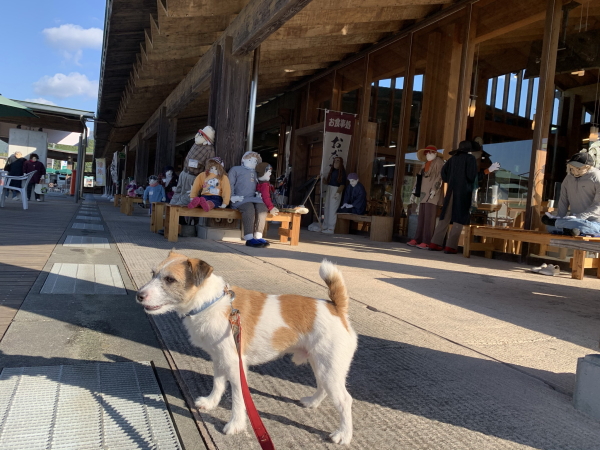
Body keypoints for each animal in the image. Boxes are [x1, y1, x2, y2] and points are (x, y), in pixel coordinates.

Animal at [136, 251, 356, 444]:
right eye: (153, 273)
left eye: (170, 279)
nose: (139, 295)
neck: (210, 302)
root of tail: (336, 307)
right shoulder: (219, 359)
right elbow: (218, 384)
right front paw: (211, 402)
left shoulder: (235, 366)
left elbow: (238, 398)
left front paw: (236, 424)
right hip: (320, 364)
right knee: (323, 387)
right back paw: (312, 402)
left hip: (328, 366)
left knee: (345, 400)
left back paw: (343, 435)